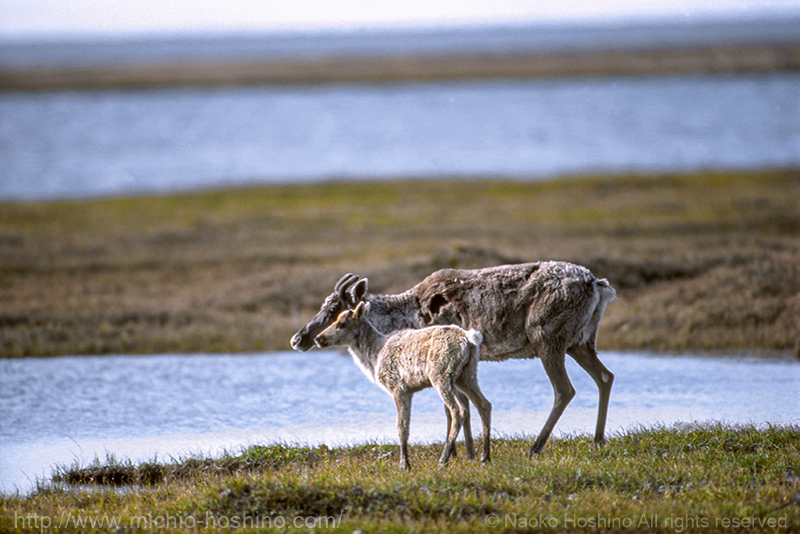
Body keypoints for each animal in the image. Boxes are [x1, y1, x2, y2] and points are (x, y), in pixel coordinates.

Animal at [314, 304, 490, 472]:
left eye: (342, 323)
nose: (318, 338)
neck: (375, 357)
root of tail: (469, 339)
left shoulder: (399, 388)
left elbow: (402, 426)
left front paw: (404, 465)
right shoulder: (409, 391)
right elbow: (406, 424)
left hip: (441, 375)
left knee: (458, 410)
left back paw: (443, 461)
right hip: (467, 375)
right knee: (484, 404)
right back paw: (484, 458)